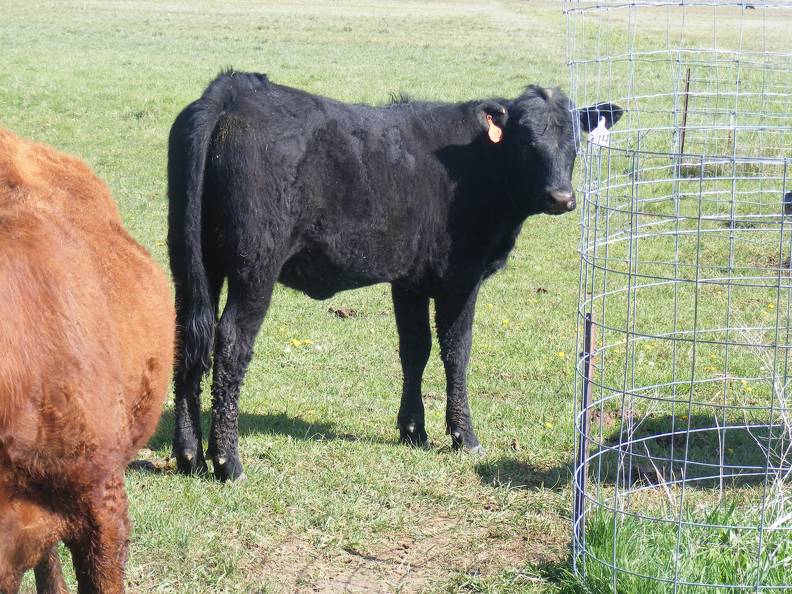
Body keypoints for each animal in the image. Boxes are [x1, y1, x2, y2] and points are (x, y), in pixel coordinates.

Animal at [169, 69, 624, 478]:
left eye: (575, 143)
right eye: (527, 142)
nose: (561, 197)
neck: (478, 163)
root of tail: (231, 92)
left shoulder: (410, 280)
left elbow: (415, 348)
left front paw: (412, 430)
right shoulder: (461, 277)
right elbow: (456, 351)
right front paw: (464, 437)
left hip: (192, 262)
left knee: (189, 336)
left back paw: (189, 455)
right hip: (255, 267)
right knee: (230, 342)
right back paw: (228, 462)